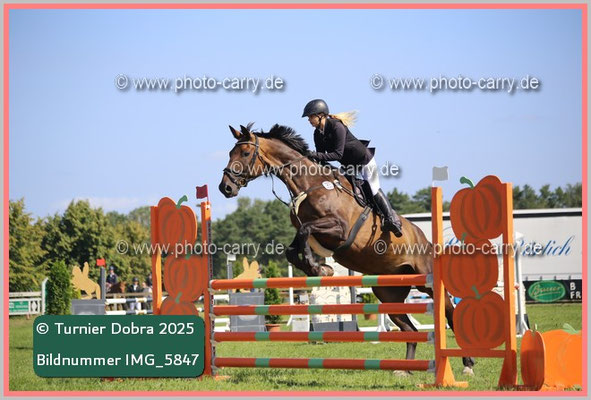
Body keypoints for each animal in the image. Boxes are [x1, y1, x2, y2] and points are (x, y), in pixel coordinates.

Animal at [219, 123, 474, 374]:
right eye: (230, 153)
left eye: (245, 153)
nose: (225, 188)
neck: (308, 184)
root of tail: (424, 238)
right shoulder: (310, 233)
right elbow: (292, 249)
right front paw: (321, 269)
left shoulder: (338, 229)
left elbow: (305, 233)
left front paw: (318, 268)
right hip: (388, 293)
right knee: (408, 327)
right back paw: (405, 370)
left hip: (426, 280)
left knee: (449, 312)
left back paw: (467, 364)